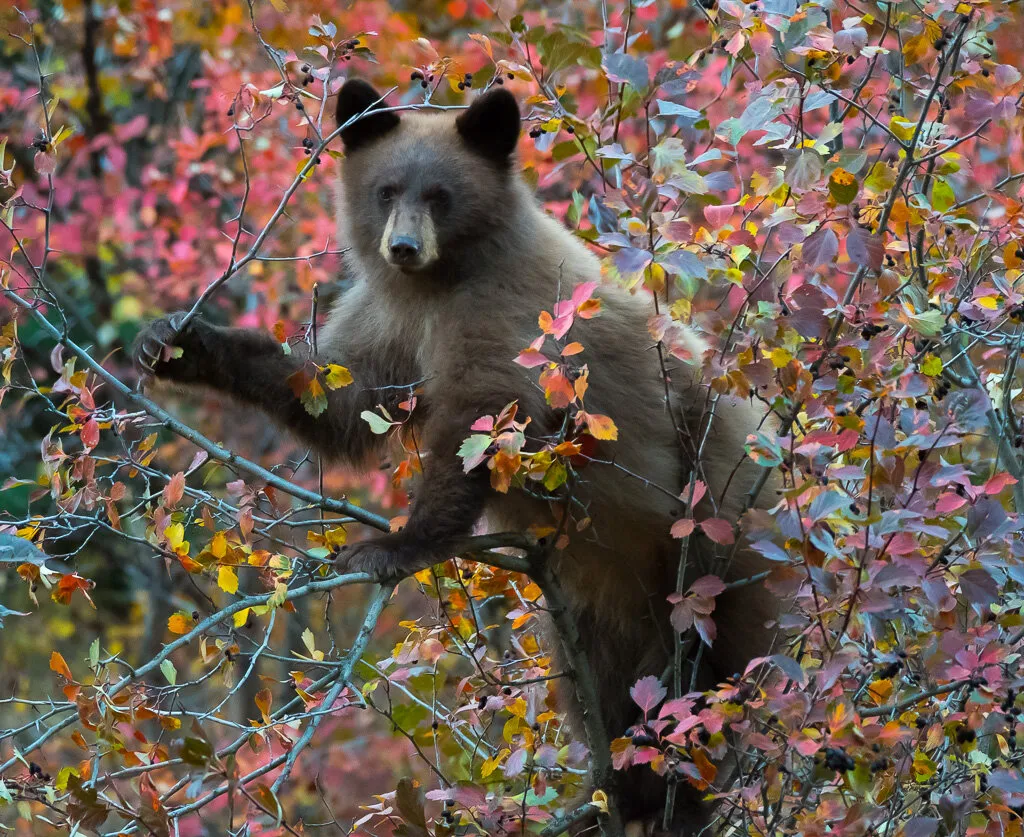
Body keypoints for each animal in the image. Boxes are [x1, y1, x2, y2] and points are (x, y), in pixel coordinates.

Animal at [132, 79, 780, 835]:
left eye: (439, 194)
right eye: (386, 189)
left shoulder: (507, 321)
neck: (442, 281)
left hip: (711, 538)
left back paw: (670, 792)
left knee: (704, 681)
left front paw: (393, 544)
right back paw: (617, 786)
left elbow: (479, 428)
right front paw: (177, 342)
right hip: (598, 610)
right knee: (602, 683)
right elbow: (332, 398)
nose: (403, 246)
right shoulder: (389, 320)